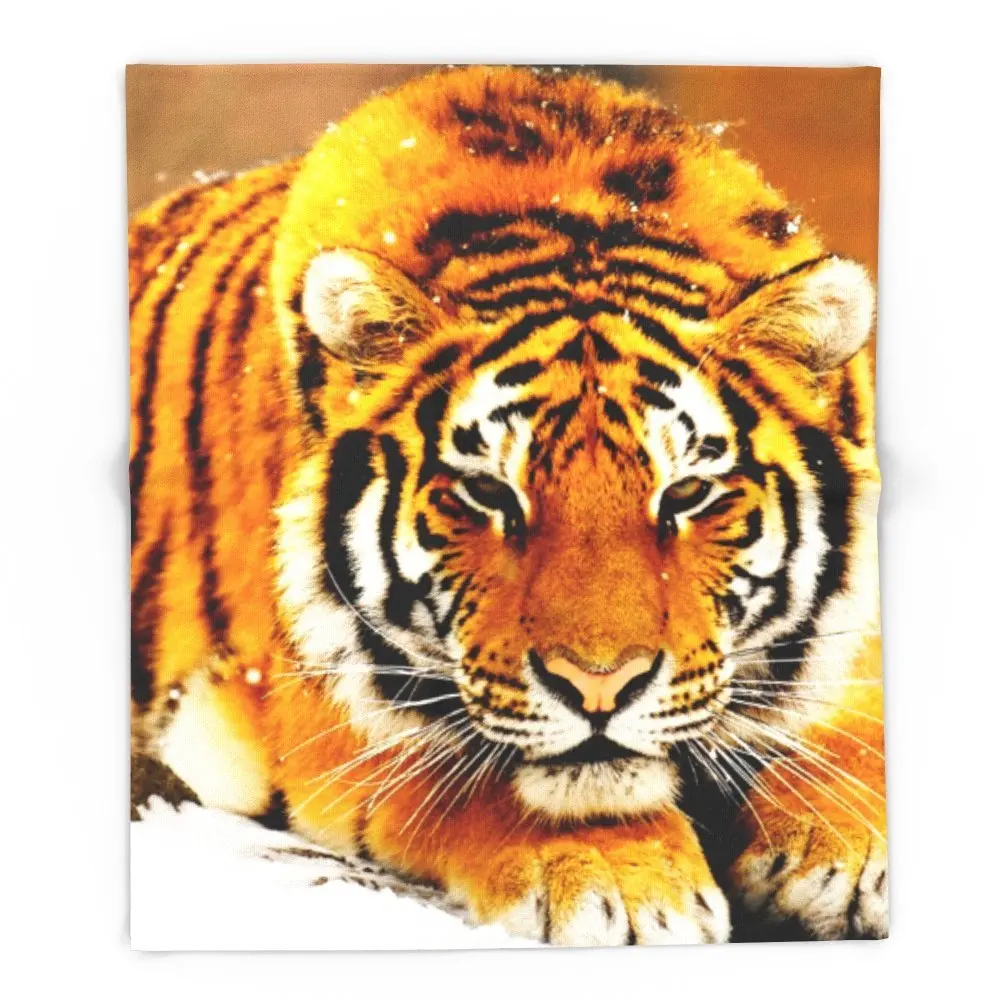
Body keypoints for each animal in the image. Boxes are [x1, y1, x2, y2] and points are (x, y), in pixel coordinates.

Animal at [129, 65, 886, 945]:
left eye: (687, 493)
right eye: (488, 492)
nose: (600, 690)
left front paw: (850, 845)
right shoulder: (309, 697)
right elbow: (464, 767)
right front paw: (624, 882)